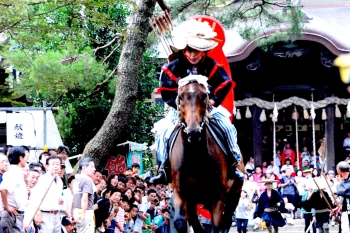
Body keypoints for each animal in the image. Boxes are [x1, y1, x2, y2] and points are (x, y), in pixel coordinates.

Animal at [170, 78, 243, 233]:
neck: (195, 158)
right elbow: (180, 222)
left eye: (204, 96)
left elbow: (216, 227)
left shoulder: (217, 197)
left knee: (227, 219)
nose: (193, 132)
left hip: (235, 192)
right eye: (181, 97)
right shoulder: (182, 194)